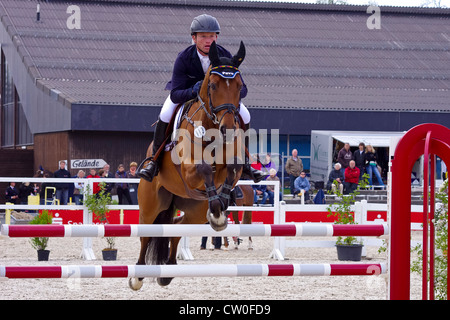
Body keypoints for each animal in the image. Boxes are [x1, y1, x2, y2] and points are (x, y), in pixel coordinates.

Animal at [128, 40, 248, 290]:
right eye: (212, 85)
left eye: (239, 86)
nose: (228, 130)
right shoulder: (189, 171)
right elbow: (204, 168)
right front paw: (219, 208)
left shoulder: (234, 166)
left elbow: (232, 169)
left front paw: (222, 206)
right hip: (151, 203)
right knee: (147, 233)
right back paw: (138, 276)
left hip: (195, 210)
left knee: (176, 226)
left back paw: (167, 272)